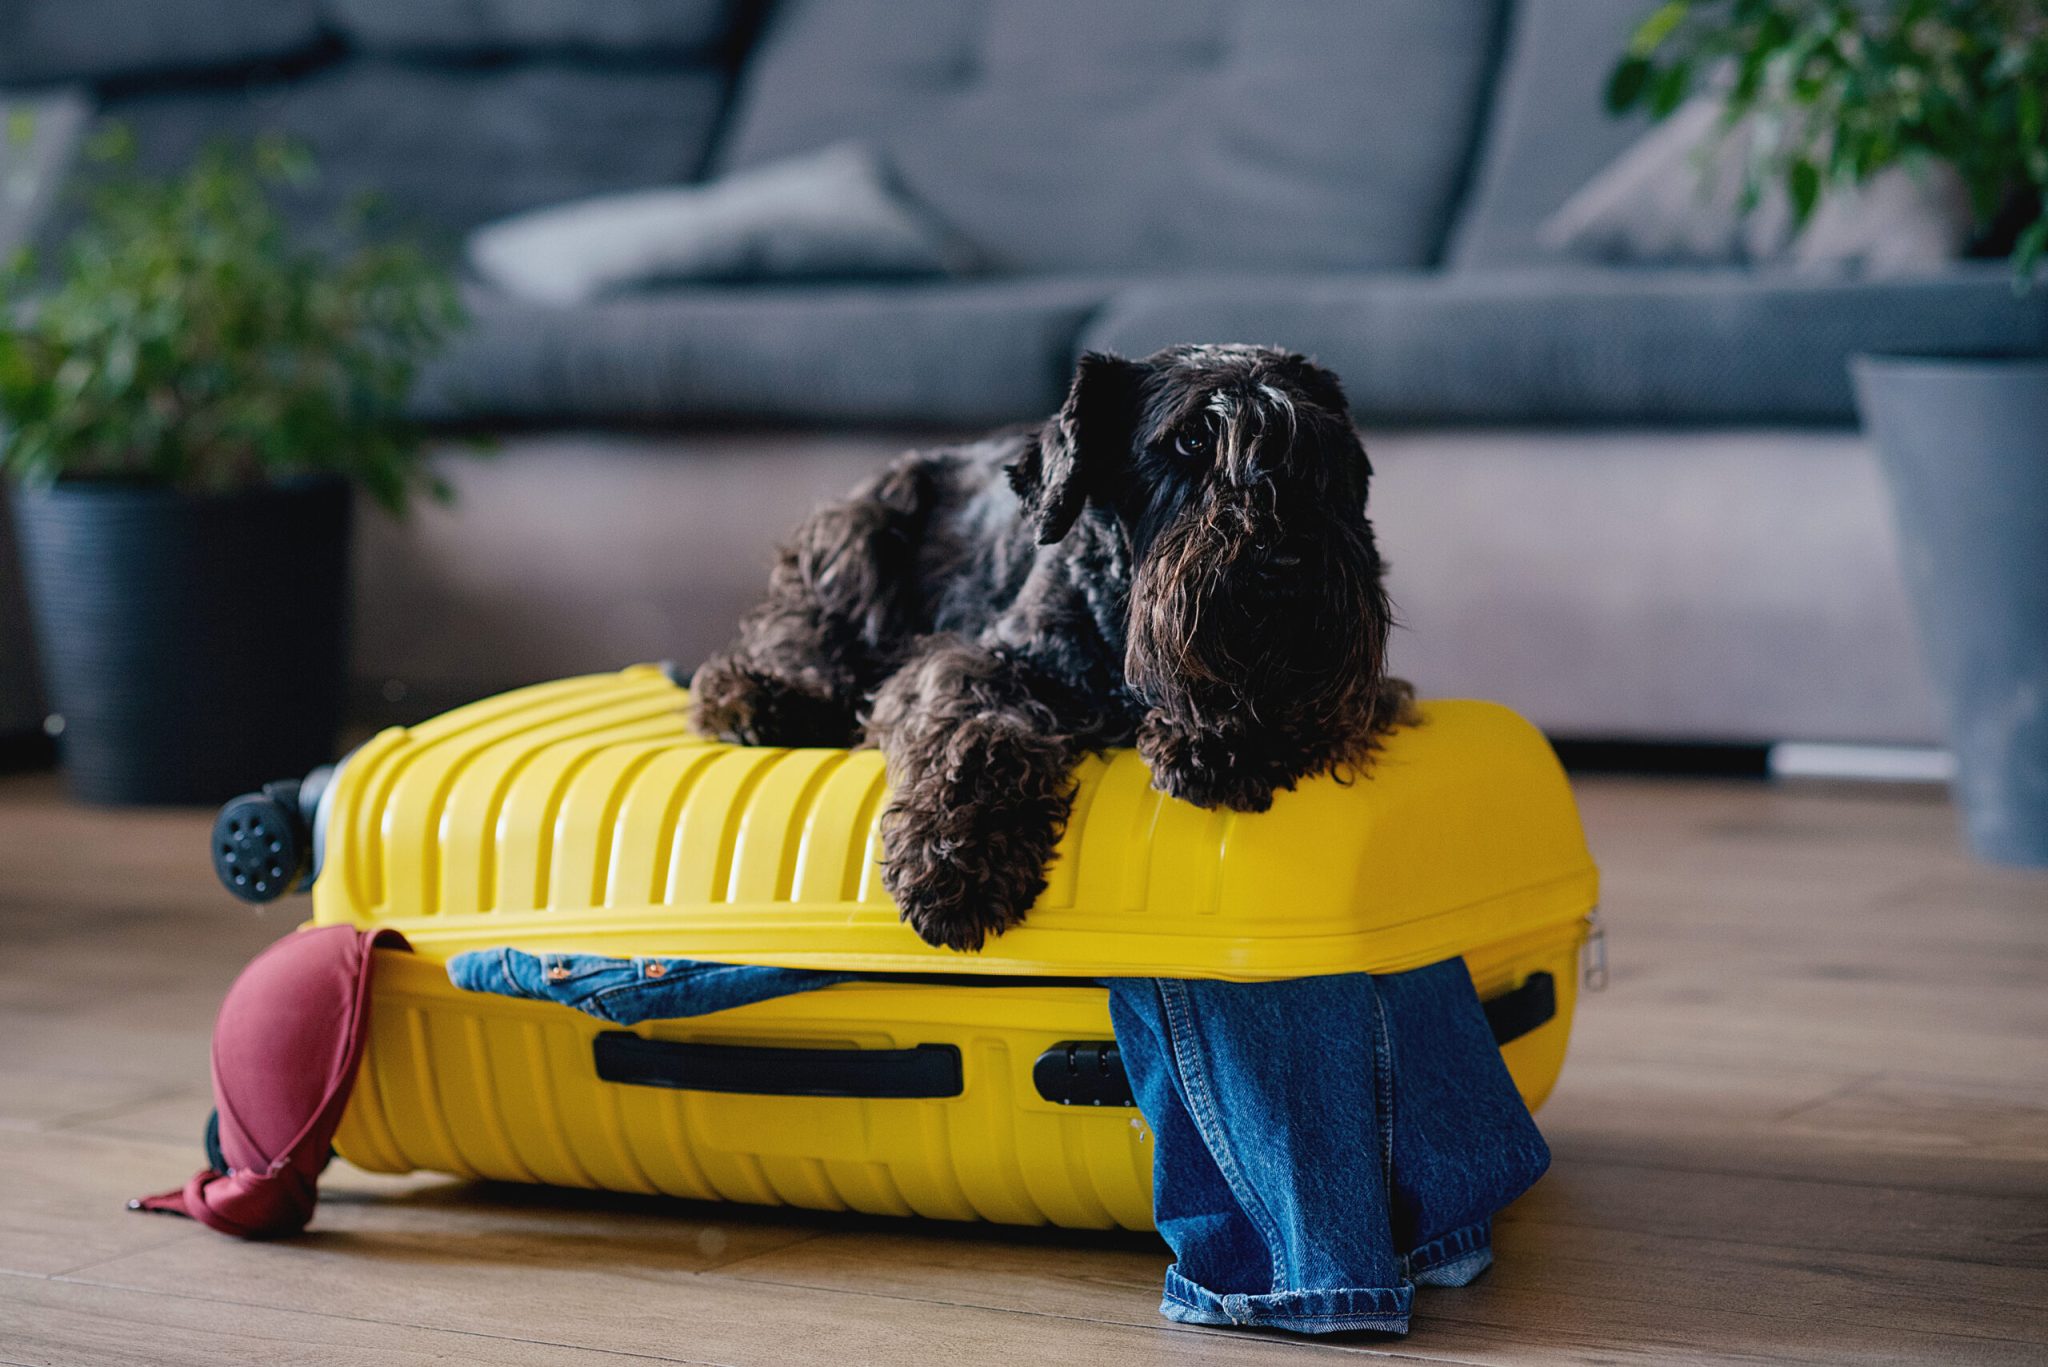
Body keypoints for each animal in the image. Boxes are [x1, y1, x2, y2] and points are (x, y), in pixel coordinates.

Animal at [688, 342, 1409, 950]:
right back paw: (755, 697)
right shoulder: (976, 661)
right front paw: (956, 862)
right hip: (855, 537)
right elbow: (974, 731)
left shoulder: (1357, 687)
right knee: (799, 637)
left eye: (1319, 447)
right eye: (1192, 438)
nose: (1287, 557)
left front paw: (1227, 733)